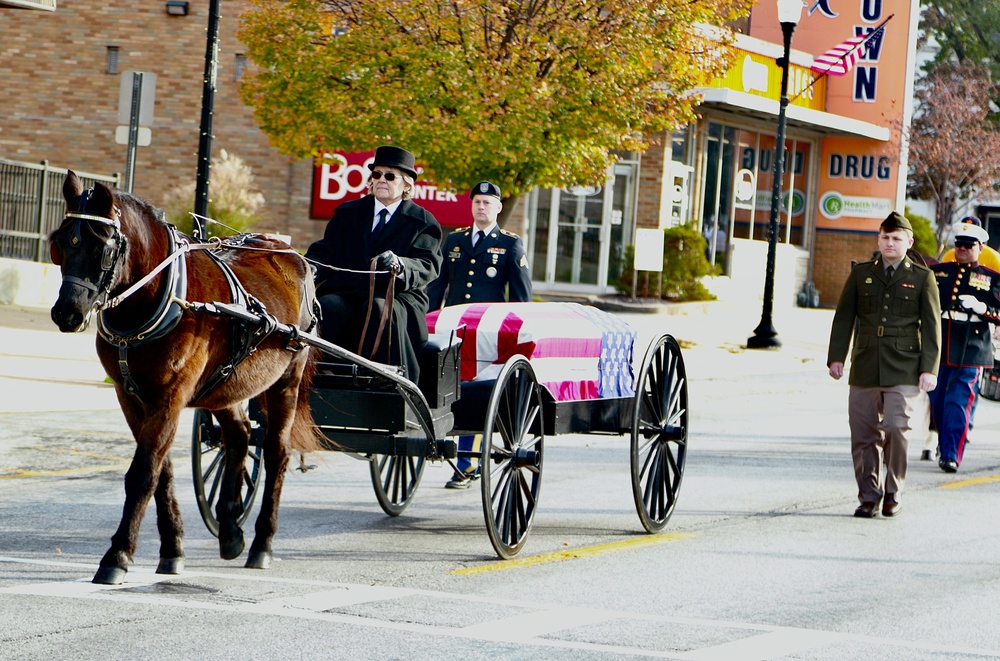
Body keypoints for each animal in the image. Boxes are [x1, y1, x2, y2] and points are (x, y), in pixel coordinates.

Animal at [49, 170, 320, 584]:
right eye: (61, 243)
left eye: (102, 248)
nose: (67, 313)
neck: (159, 296)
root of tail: (290, 253)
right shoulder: (131, 397)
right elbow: (161, 471)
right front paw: (172, 549)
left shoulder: (170, 396)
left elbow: (143, 472)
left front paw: (117, 555)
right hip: (226, 384)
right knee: (239, 436)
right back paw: (230, 529)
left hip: (286, 379)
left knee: (276, 453)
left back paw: (262, 543)